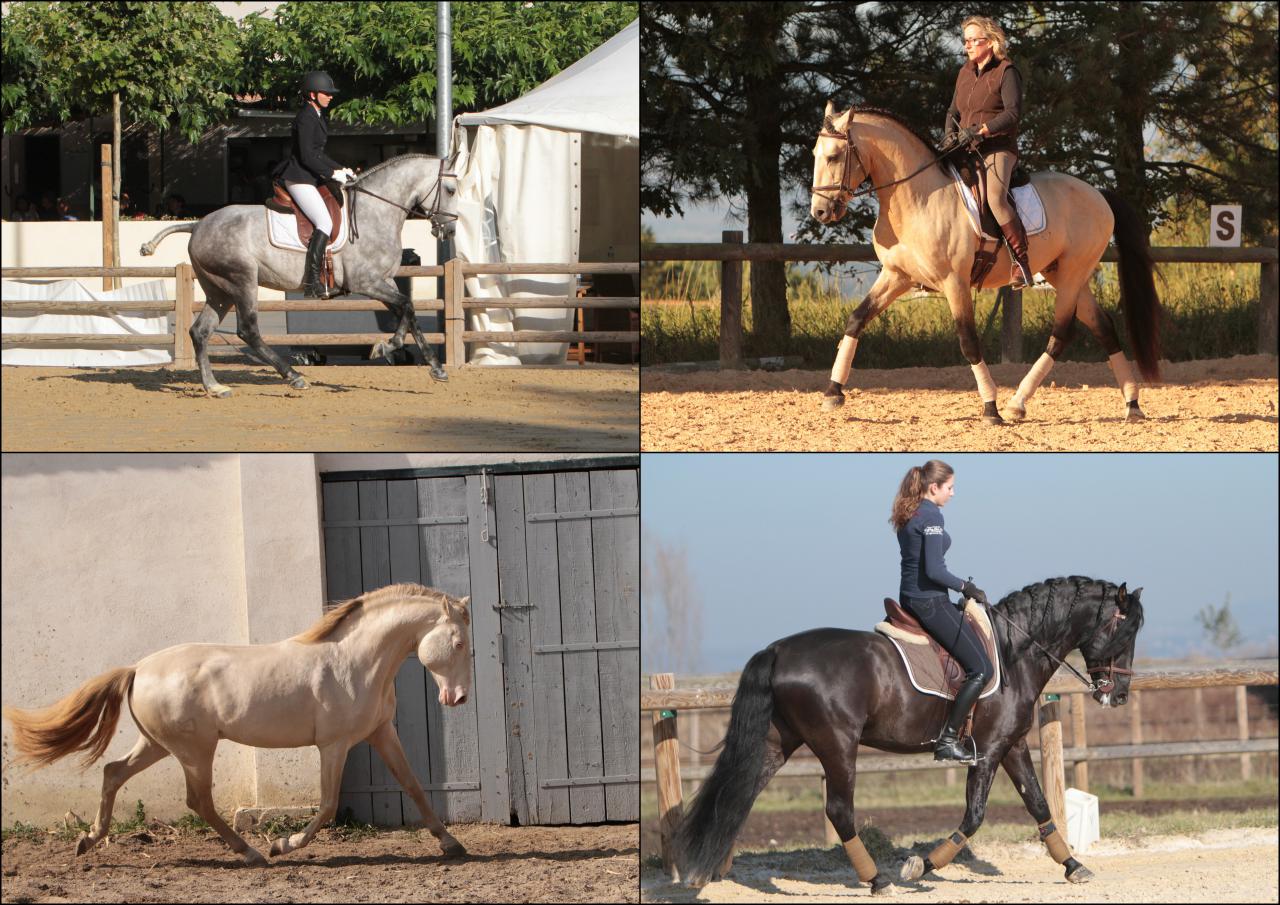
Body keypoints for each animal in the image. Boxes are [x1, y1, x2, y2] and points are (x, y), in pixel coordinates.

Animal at [4, 583, 472, 866]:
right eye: (458, 642)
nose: (459, 699)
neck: (352, 662)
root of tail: (137, 668)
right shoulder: (334, 746)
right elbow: (327, 805)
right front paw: (283, 844)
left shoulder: (381, 733)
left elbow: (413, 785)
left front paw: (452, 844)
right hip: (195, 751)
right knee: (198, 801)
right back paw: (251, 853)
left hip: (157, 745)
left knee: (113, 772)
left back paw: (88, 839)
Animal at [141, 154, 459, 398]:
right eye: (452, 190)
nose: (450, 230)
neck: (376, 212)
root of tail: (198, 225)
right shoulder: (366, 282)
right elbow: (407, 306)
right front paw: (384, 347)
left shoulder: (385, 281)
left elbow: (408, 311)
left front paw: (435, 367)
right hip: (242, 282)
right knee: (248, 330)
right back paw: (293, 376)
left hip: (220, 291)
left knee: (201, 331)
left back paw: (215, 387)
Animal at [672, 576, 1144, 893]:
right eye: (1127, 630)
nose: (1119, 695)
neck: (1014, 652)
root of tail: (777, 650)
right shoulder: (988, 750)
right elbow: (973, 818)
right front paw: (921, 865)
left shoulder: (1010, 746)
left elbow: (1039, 804)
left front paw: (1073, 865)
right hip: (837, 745)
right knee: (838, 810)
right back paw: (877, 880)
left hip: (777, 741)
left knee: (739, 793)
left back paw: (708, 869)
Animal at [810, 102, 1161, 424]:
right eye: (816, 153)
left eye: (835, 156)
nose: (820, 212)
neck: (916, 198)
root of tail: (1098, 194)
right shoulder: (897, 276)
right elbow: (856, 320)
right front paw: (833, 393)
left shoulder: (954, 282)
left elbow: (968, 342)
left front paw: (990, 408)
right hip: (1062, 274)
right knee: (1103, 327)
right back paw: (1130, 405)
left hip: (1074, 272)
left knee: (1061, 334)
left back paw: (1016, 403)